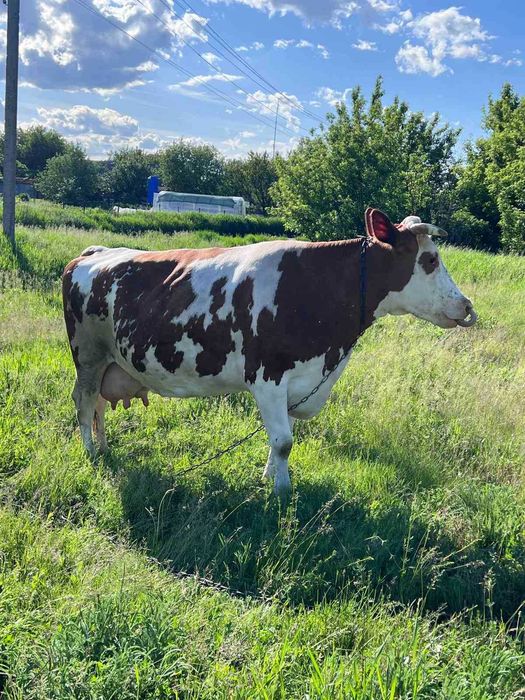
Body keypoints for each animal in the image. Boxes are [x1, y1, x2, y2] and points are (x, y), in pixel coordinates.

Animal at [62, 208, 477, 495]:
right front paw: (281, 492)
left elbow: (281, 439)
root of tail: (92, 252)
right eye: (429, 260)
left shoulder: (299, 382)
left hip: (111, 361)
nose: (467, 306)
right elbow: (284, 441)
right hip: (88, 355)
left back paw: (104, 448)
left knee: (99, 405)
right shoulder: (267, 377)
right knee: (84, 401)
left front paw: (268, 477)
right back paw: (90, 454)